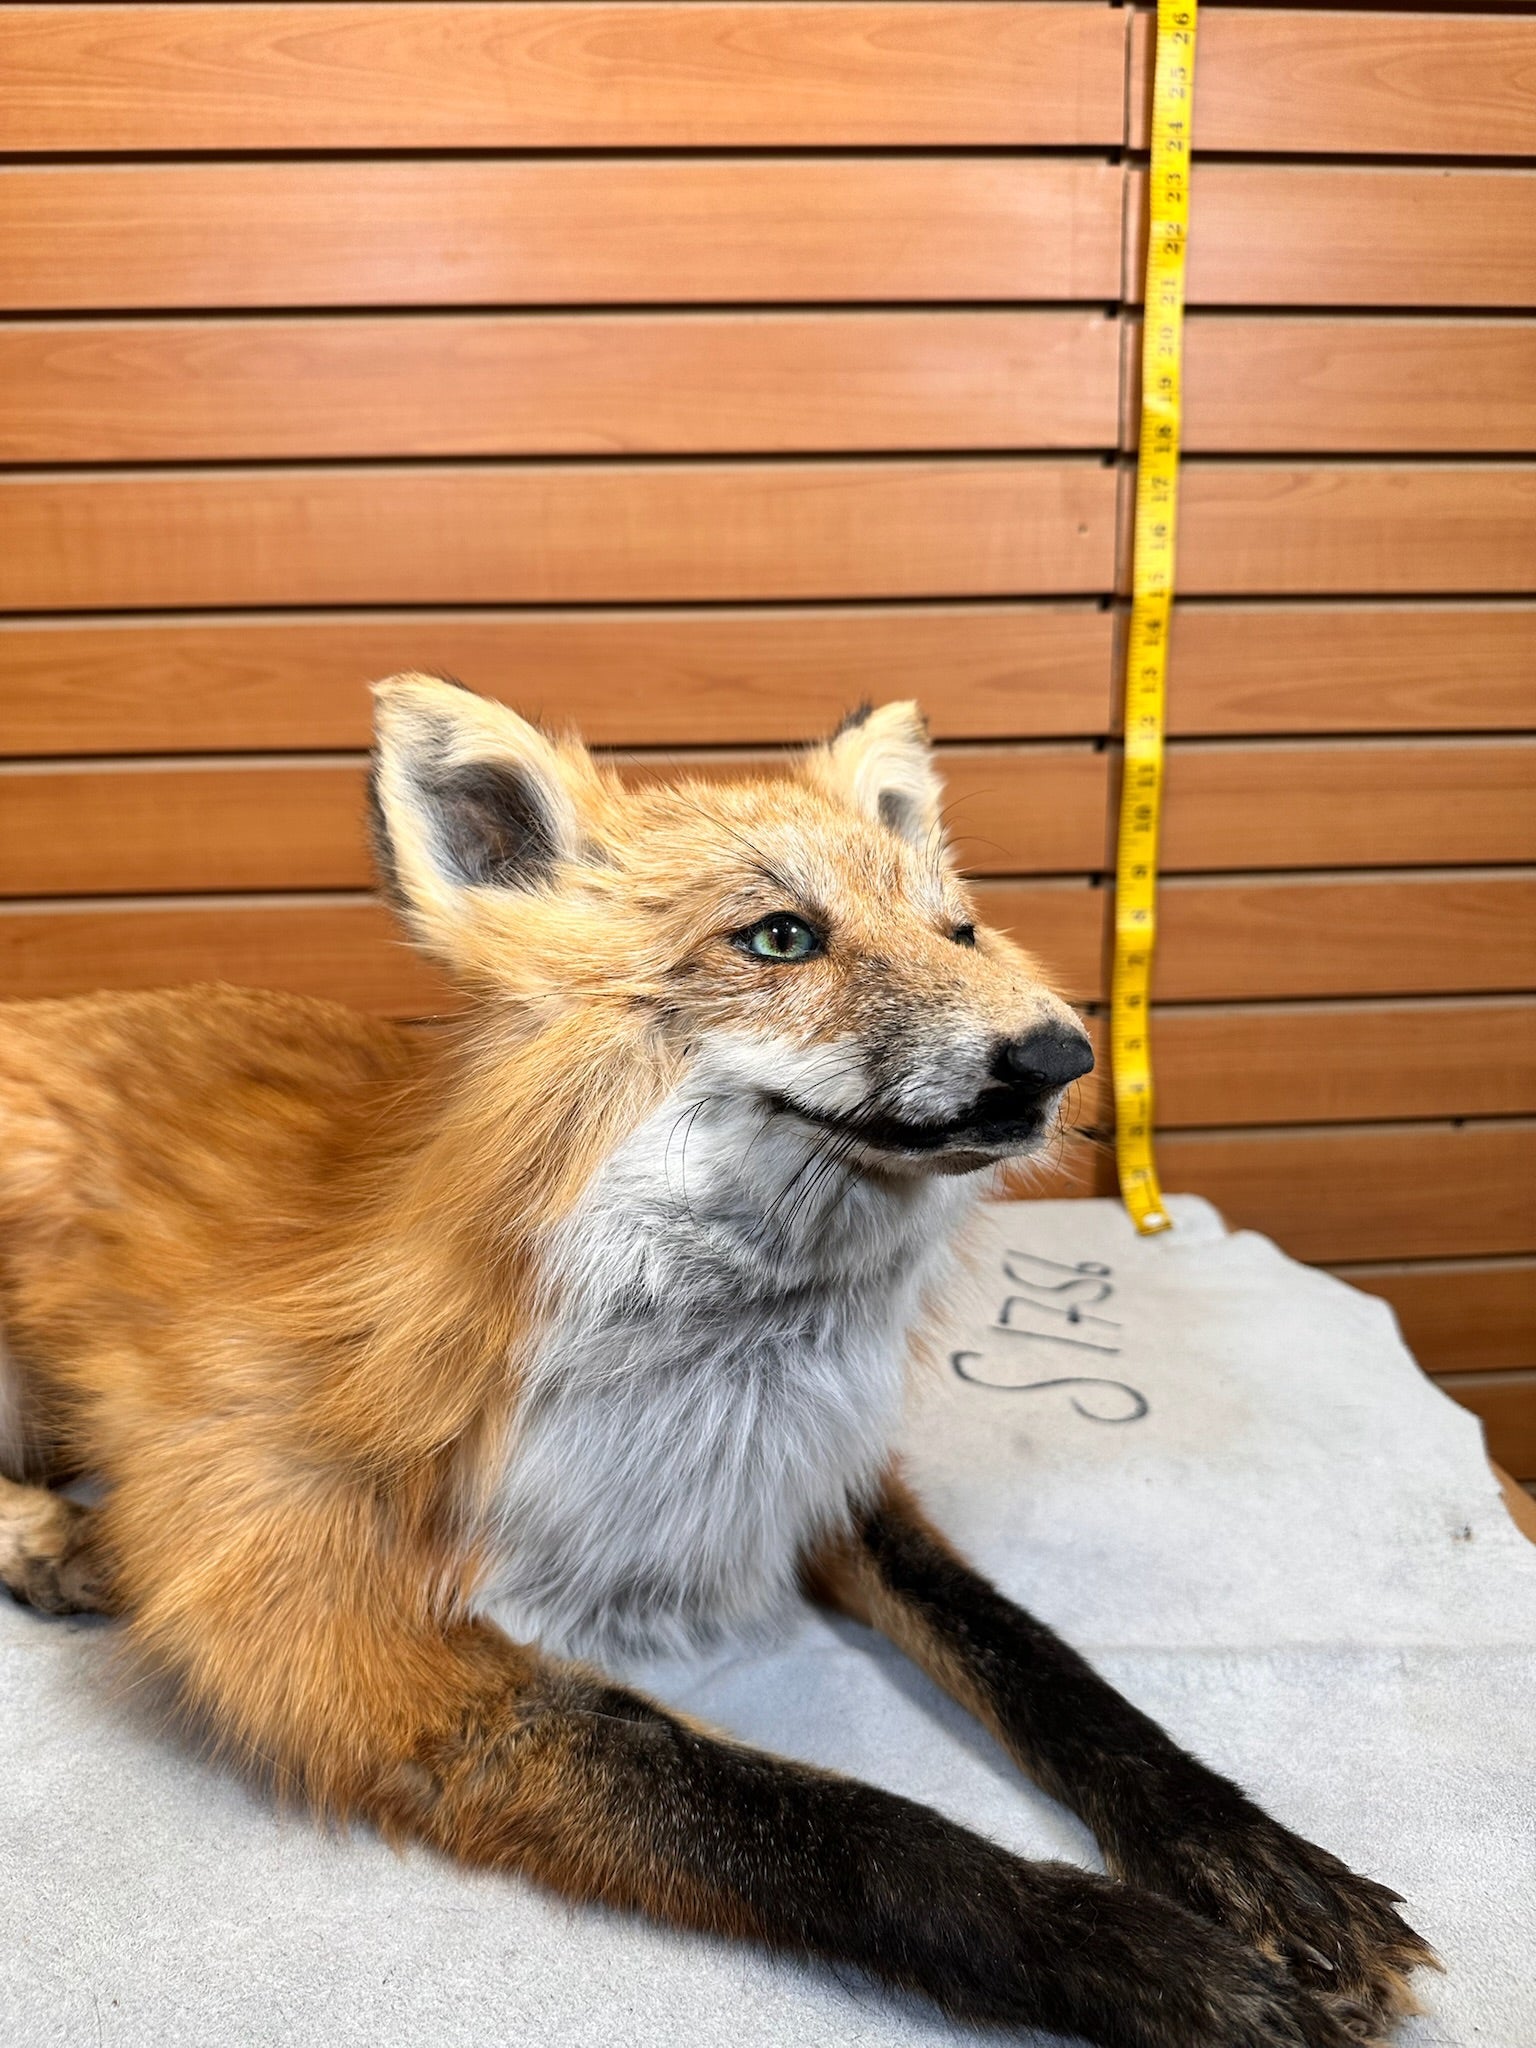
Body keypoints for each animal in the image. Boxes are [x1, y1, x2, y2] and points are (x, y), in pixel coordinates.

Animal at [0, 677, 1433, 2047]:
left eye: (959, 931)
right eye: (781, 936)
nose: (1063, 1054)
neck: (725, 1369)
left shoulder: (816, 1474)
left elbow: (1040, 1659)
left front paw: (1252, 1858)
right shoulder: (312, 1603)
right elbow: (825, 1824)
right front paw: (1162, 1964)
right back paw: (57, 1541)